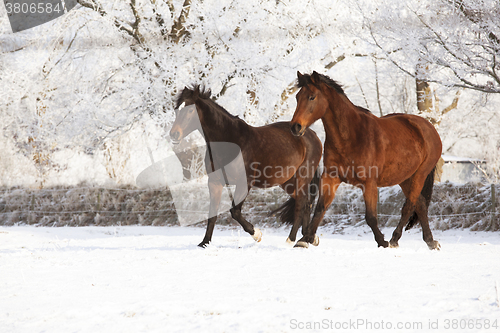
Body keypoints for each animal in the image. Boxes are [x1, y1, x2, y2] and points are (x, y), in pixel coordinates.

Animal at [170, 85, 322, 246]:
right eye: (177, 110)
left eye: (190, 110)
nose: (174, 134)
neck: (230, 141)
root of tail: (311, 134)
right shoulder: (215, 182)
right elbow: (212, 214)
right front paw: (204, 243)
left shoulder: (244, 183)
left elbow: (235, 212)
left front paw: (257, 234)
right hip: (288, 182)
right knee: (307, 203)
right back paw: (307, 239)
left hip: (302, 177)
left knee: (301, 204)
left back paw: (292, 240)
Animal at [290, 72, 442, 249]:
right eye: (297, 97)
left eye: (312, 97)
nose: (295, 127)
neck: (351, 136)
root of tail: (428, 127)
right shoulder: (331, 177)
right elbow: (320, 208)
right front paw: (304, 239)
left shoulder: (369, 183)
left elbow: (371, 217)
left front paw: (382, 241)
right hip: (405, 178)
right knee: (421, 204)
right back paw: (430, 241)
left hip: (419, 175)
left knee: (409, 206)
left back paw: (394, 239)